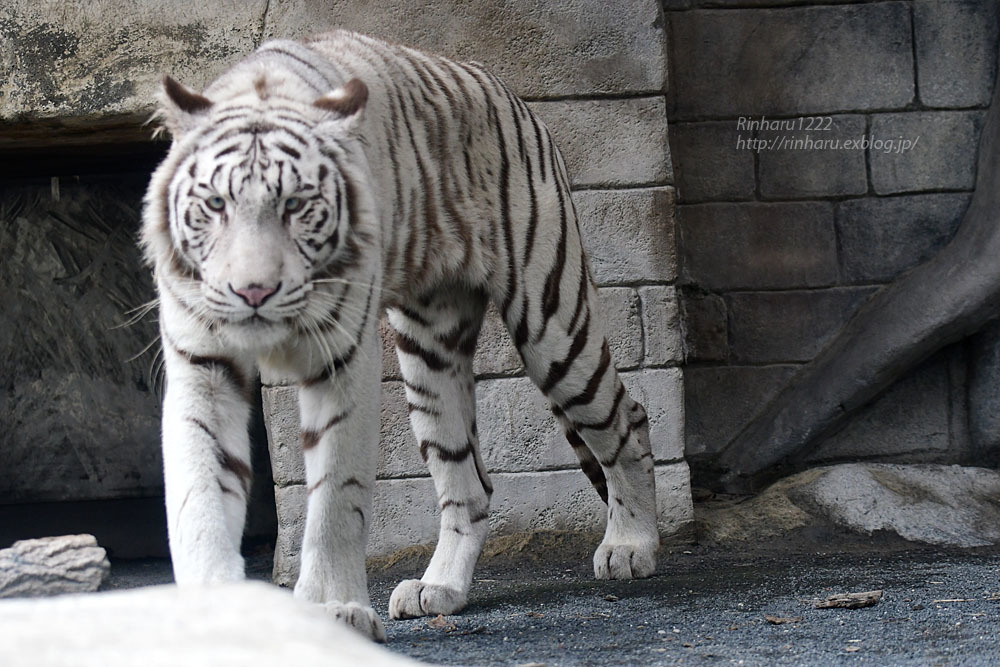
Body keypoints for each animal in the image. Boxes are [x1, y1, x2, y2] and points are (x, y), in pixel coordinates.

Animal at [139, 31, 656, 640]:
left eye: (295, 205)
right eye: (216, 204)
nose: (253, 291)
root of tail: (508, 93)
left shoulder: (342, 362)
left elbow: (335, 500)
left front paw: (334, 609)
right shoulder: (203, 365)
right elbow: (199, 495)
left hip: (552, 322)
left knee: (625, 418)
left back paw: (630, 546)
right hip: (429, 356)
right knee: (469, 484)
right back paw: (440, 587)